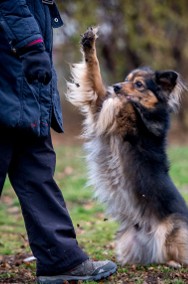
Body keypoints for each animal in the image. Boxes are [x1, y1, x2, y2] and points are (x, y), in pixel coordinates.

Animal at [66, 27, 188, 268]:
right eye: (126, 79)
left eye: (139, 84)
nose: (117, 86)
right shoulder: (98, 105)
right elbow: (95, 76)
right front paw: (89, 44)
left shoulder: (130, 121)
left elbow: (129, 104)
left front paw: (125, 99)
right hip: (127, 238)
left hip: (172, 230)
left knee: (175, 250)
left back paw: (173, 262)